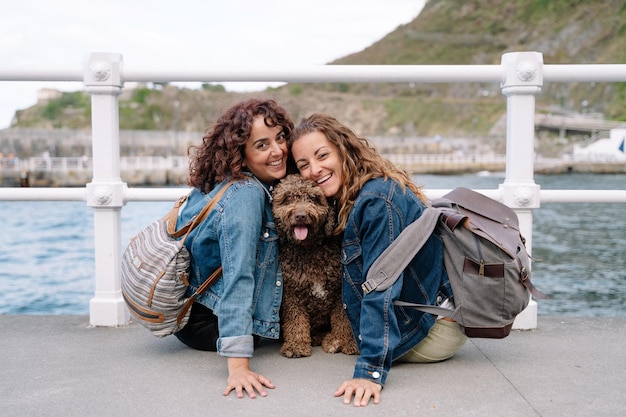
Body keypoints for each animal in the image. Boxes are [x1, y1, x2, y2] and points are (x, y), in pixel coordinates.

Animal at [272, 173, 358, 358]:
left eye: (314, 198)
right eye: (288, 198)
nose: (301, 215)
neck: (310, 249)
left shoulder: (340, 290)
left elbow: (343, 318)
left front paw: (345, 341)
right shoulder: (292, 294)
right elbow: (296, 320)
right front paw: (296, 345)